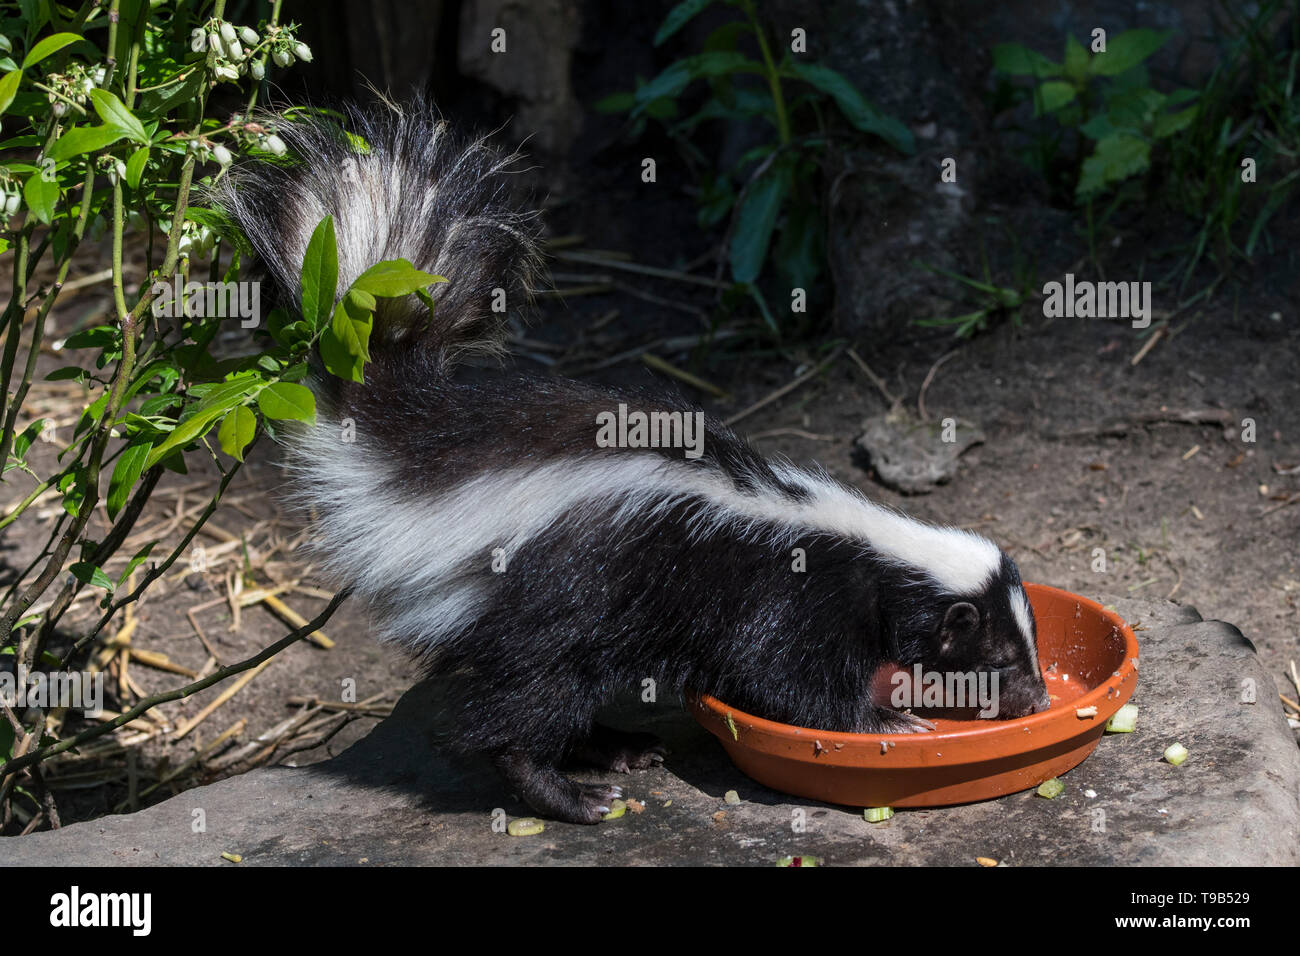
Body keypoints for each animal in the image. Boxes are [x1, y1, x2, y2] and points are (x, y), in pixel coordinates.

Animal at [218, 100, 1050, 827]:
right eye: (999, 656)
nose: (1038, 700)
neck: (869, 551)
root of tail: (429, 454)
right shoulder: (789, 601)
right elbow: (785, 680)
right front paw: (886, 717)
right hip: (550, 604)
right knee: (517, 709)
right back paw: (570, 793)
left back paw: (616, 748)